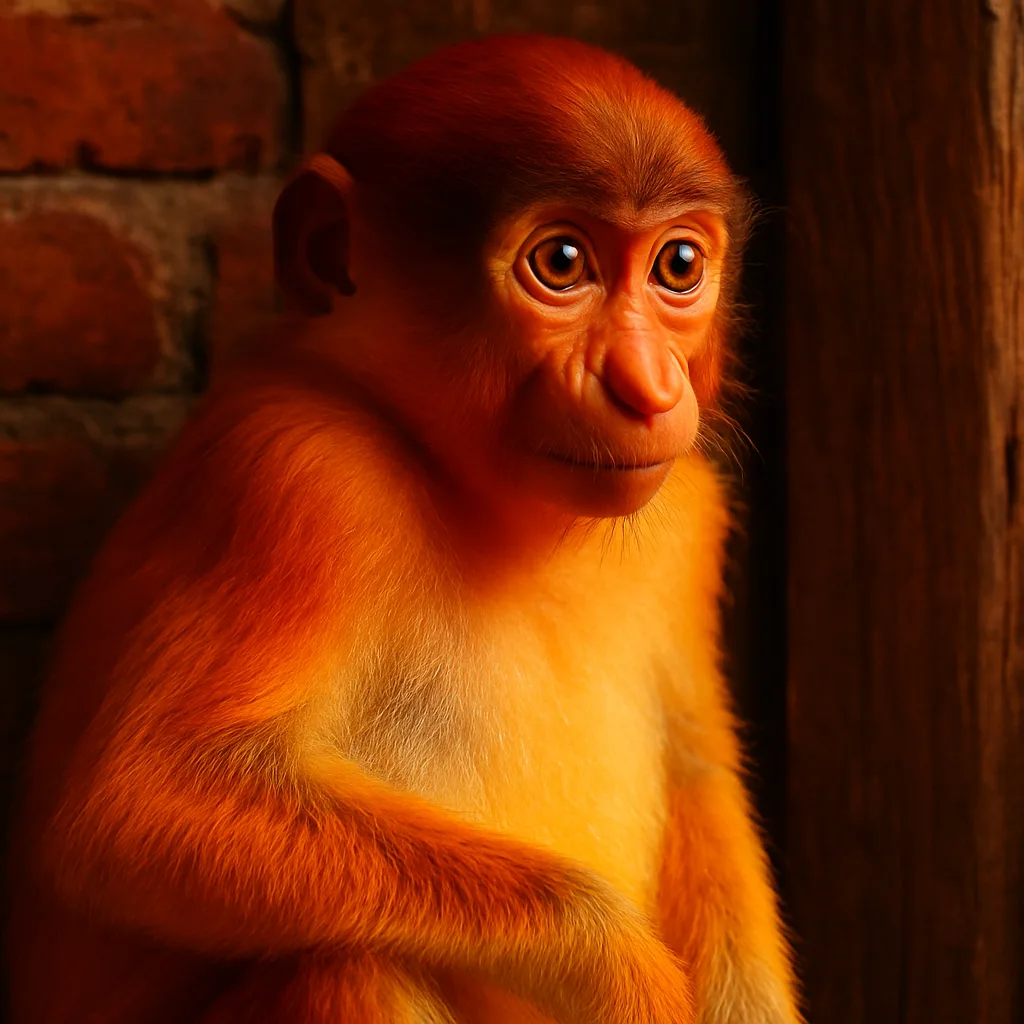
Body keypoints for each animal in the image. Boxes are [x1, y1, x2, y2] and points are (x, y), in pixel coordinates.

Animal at [6, 34, 800, 1024]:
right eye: (562, 260)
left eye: (679, 265)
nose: (649, 387)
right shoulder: (300, 475)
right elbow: (136, 805)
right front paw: (629, 977)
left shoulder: (686, 519)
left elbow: (698, 775)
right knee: (352, 961)